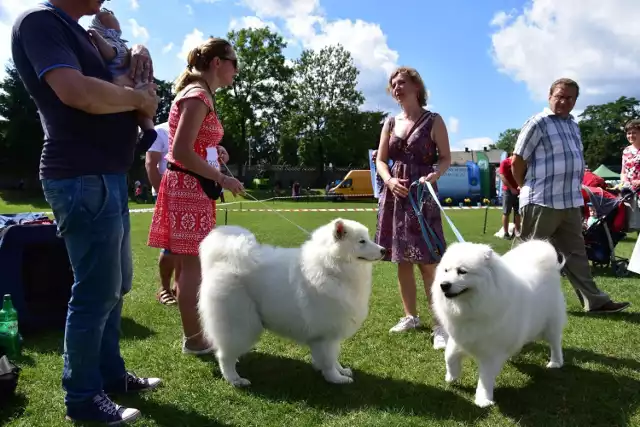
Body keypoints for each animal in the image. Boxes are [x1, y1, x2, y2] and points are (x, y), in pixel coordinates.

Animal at [198, 219, 384, 390]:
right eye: (362, 241)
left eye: (368, 239)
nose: (384, 250)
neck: (332, 268)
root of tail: (223, 260)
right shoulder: (326, 334)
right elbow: (329, 360)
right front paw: (336, 378)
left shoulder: (331, 334)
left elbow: (333, 357)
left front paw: (341, 370)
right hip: (241, 325)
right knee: (224, 355)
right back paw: (235, 379)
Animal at [430, 239, 564, 410]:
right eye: (446, 270)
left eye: (462, 271)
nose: (444, 285)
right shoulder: (460, 337)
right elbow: (449, 356)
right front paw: (451, 376)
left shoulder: (491, 352)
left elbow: (485, 378)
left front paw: (483, 400)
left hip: (550, 326)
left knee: (555, 343)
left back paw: (555, 362)